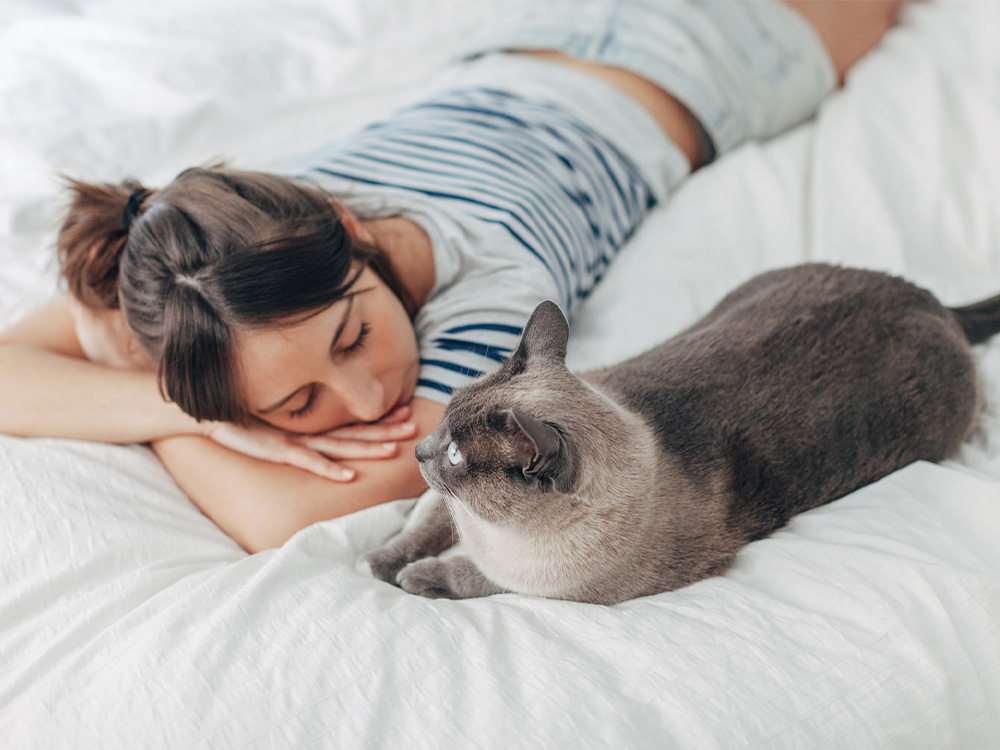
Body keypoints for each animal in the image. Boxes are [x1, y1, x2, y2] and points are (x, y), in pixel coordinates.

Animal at [364, 264, 996, 604]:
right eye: (444, 417)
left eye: (453, 454)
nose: (418, 451)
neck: (492, 532)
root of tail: (930, 299)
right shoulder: (445, 508)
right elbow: (420, 527)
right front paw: (378, 562)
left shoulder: (550, 591)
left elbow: (469, 575)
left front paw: (414, 578)